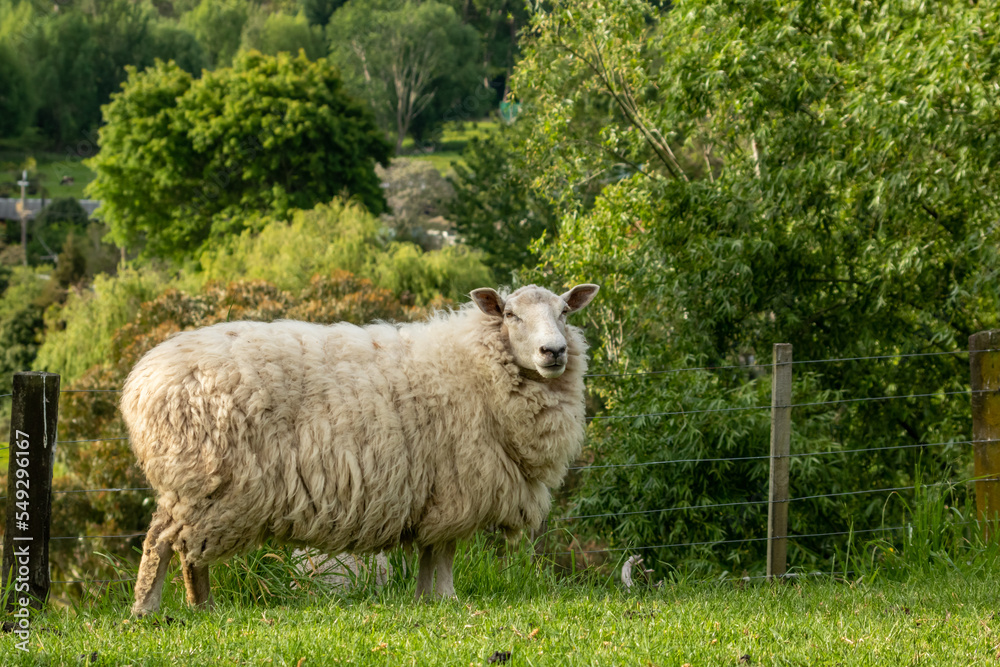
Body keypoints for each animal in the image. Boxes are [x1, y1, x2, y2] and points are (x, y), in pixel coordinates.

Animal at [120, 283, 599, 616]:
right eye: (512, 315)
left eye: (564, 312)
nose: (554, 351)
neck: (476, 364)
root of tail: (142, 379)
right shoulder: (455, 486)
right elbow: (443, 552)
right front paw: (447, 599)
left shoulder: (434, 492)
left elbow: (430, 553)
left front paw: (426, 600)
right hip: (202, 480)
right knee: (162, 542)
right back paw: (147, 610)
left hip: (199, 487)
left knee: (188, 550)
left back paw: (203, 608)